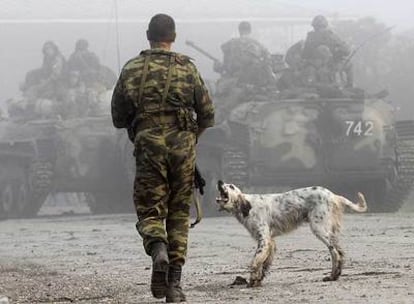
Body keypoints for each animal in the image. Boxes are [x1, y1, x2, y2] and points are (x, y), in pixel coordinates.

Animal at [215, 180, 368, 288]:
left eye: (231, 186)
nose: (219, 182)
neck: (247, 206)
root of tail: (332, 195)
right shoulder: (270, 242)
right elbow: (264, 264)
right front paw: (258, 280)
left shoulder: (264, 239)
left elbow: (255, 261)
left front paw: (252, 280)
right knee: (338, 251)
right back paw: (334, 276)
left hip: (318, 227)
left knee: (335, 252)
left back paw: (332, 275)